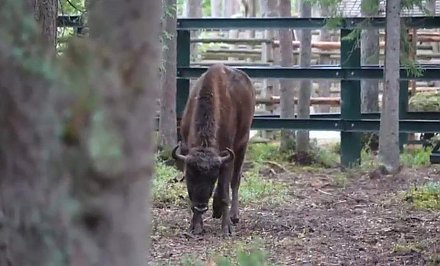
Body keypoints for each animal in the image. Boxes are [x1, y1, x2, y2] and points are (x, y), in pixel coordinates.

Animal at [171, 63, 254, 236]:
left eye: (212, 177)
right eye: (190, 176)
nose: (201, 206)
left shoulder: (227, 158)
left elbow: (224, 192)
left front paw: (226, 228)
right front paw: (195, 226)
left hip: (242, 145)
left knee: (234, 181)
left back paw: (233, 216)